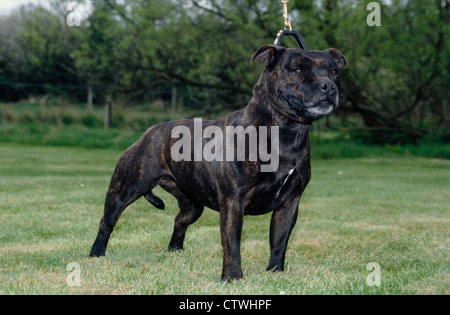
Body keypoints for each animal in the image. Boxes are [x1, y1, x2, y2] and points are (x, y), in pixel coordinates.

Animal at [89, 44, 348, 282]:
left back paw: (175, 251)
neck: (286, 131)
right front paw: (232, 277)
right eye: (298, 69)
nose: (329, 86)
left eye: (334, 72)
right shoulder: (233, 201)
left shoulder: (289, 203)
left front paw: (275, 272)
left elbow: (279, 239)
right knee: (106, 222)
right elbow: (232, 243)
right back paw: (96, 255)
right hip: (124, 190)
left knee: (179, 220)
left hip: (193, 205)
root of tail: (148, 132)